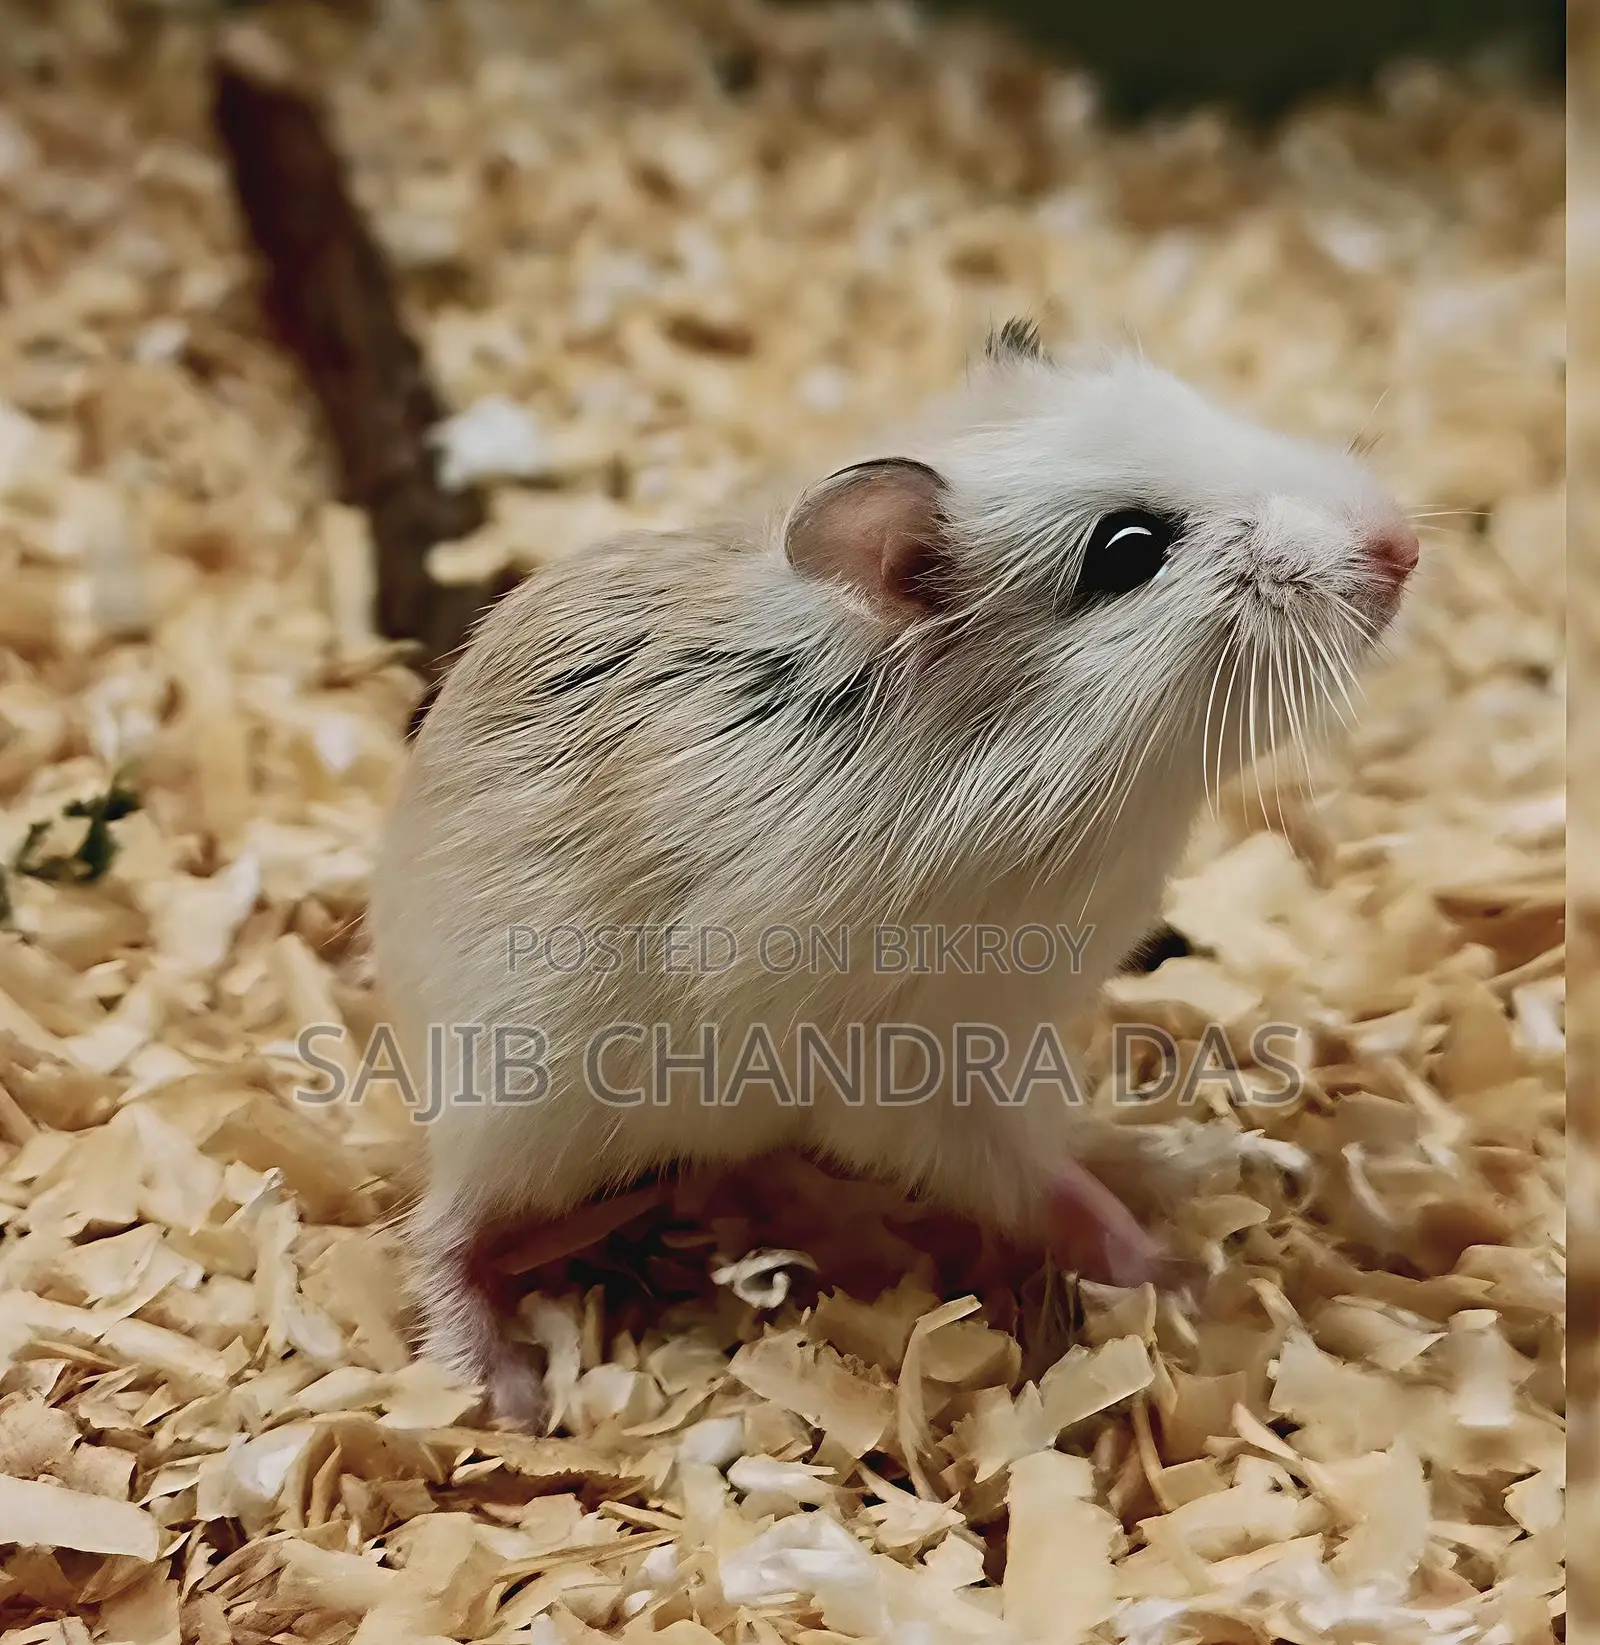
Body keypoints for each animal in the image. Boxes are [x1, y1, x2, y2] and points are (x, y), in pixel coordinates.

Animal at [368, 321, 1418, 1425]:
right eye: (1129, 550)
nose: (1403, 546)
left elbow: (1070, 1149)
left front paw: (1208, 1166)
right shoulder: (909, 1071)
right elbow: (1045, 1186)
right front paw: (1178, 1277)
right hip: (526, 1104)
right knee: (440, 1225)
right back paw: (506, 1391)